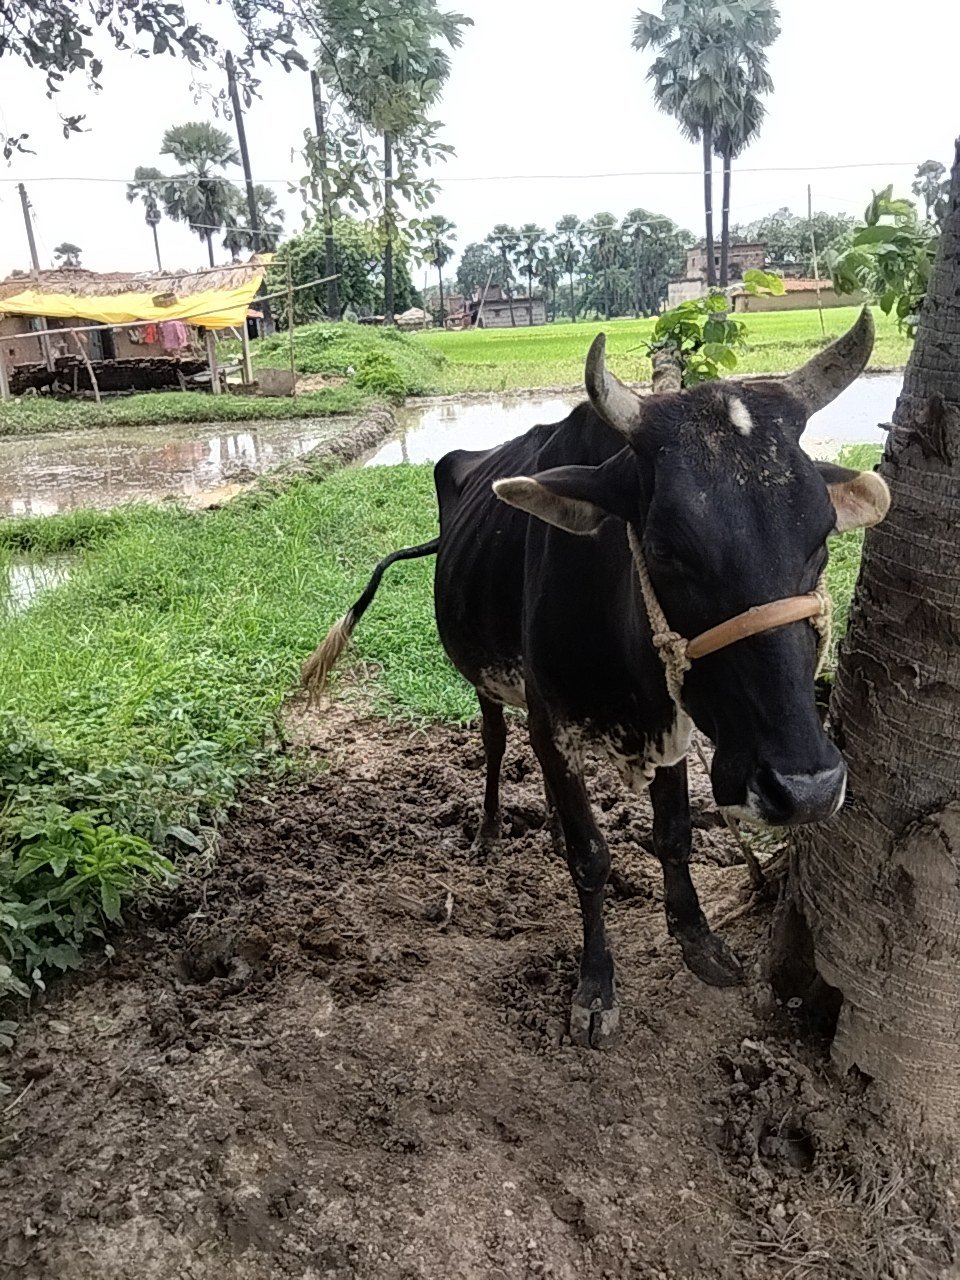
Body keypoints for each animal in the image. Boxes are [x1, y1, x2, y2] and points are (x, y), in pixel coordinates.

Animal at [302, 309, 890, 1047]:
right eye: (666, 548)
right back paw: (491, 831)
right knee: (497, 742)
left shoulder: (675, 721)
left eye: (822, 539)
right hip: (486, 681)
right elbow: (591, 856)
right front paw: (595, 986)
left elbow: (673, 835)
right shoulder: (557, 723)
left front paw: (697, 939)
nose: (806, 787)